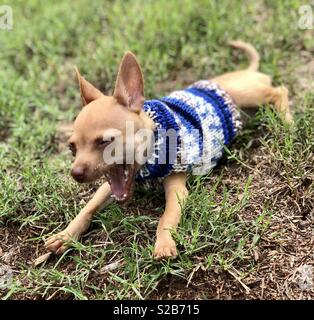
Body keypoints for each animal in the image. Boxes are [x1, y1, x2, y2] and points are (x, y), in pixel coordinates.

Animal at [45, 40, 294, 260]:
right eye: (72, 147)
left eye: (105, 141)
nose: (75, 173)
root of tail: (244, 72)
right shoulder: (108, 187)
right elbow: (88, 208)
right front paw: (65, 235)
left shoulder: (177, 190)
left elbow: (165, 219)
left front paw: (163, 244)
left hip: (244, 96)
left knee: (279, 91)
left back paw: (288, 120)